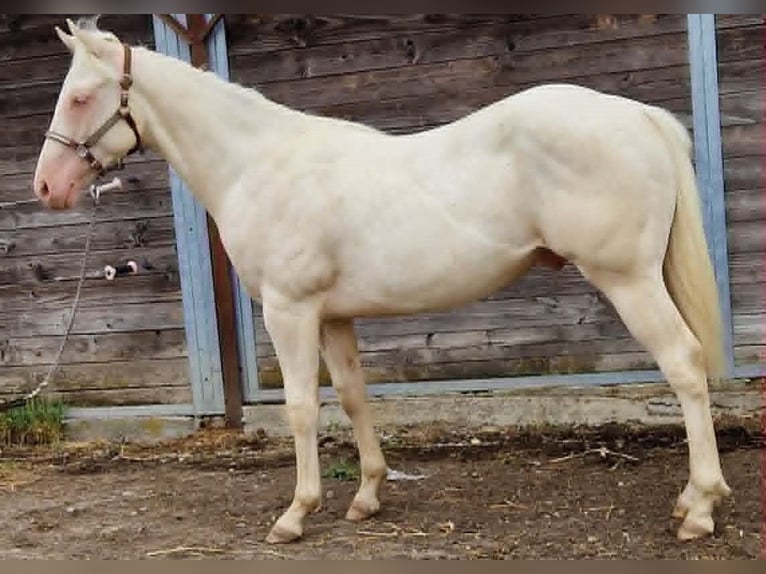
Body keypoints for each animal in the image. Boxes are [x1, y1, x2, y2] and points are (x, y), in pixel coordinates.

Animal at [33, 19, 731, 544]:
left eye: (79, 96)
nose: (45, 187)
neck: (258, 164)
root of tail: (639, 116)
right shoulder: (333, 315)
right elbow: (353, 396)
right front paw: (367, 496)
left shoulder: (290, 311)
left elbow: (300, 407)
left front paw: (295, 514)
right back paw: (690, 499)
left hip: (629, 281)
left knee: (683, 363)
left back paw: (699, 507)